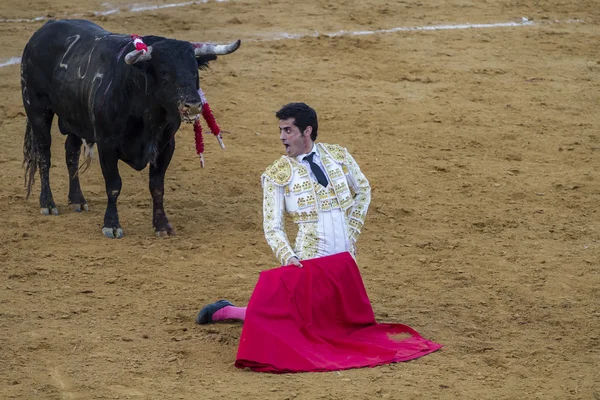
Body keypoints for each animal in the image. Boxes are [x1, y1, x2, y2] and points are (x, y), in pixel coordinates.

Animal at [21, 19, 241, 238]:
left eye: (195, 71)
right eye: (164, 72)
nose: (193, 105)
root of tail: (42, 30)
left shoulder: (165, 146)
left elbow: (157, 186)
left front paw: (162, 225)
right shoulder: (106, 145)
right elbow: (114, 185)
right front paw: (111, 225)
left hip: (75, 118)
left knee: (71, 154)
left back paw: (77, 200)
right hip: (37, 111)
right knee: (44, 156)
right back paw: (48, 203)